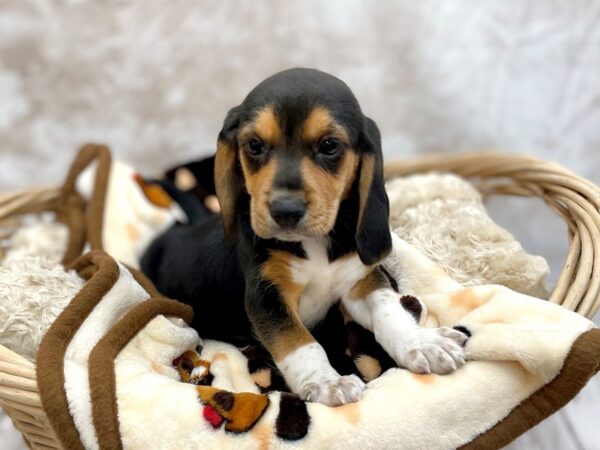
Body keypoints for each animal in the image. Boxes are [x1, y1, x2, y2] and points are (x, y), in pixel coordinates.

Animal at [142, 67, 468, 408]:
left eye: (329, 145)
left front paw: (422, 343)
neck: (315, 244)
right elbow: (299, 341)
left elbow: (390, 311)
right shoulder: (267, 297)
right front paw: (326, 381)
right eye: (254, 145)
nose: (285, 210)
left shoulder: (360, 282)